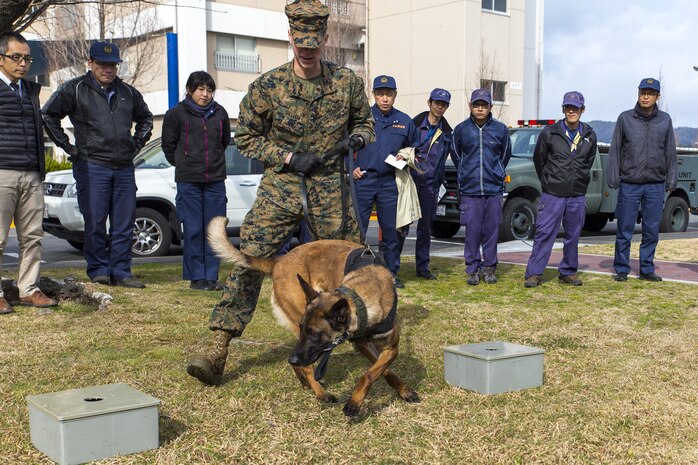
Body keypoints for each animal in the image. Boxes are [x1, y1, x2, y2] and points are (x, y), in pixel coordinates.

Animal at [207, 218, 418, 416]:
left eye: (316, 333)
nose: (292, 360)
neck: (363, 297)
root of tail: (279, 260)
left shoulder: (390, 349)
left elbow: (378, 372)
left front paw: (404, 391)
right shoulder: (362, 344)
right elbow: (371, 373)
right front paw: (354, 404)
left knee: (302, 365)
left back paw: (304, 381)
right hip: (298, 322)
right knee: (307, 367)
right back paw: (320, 393)